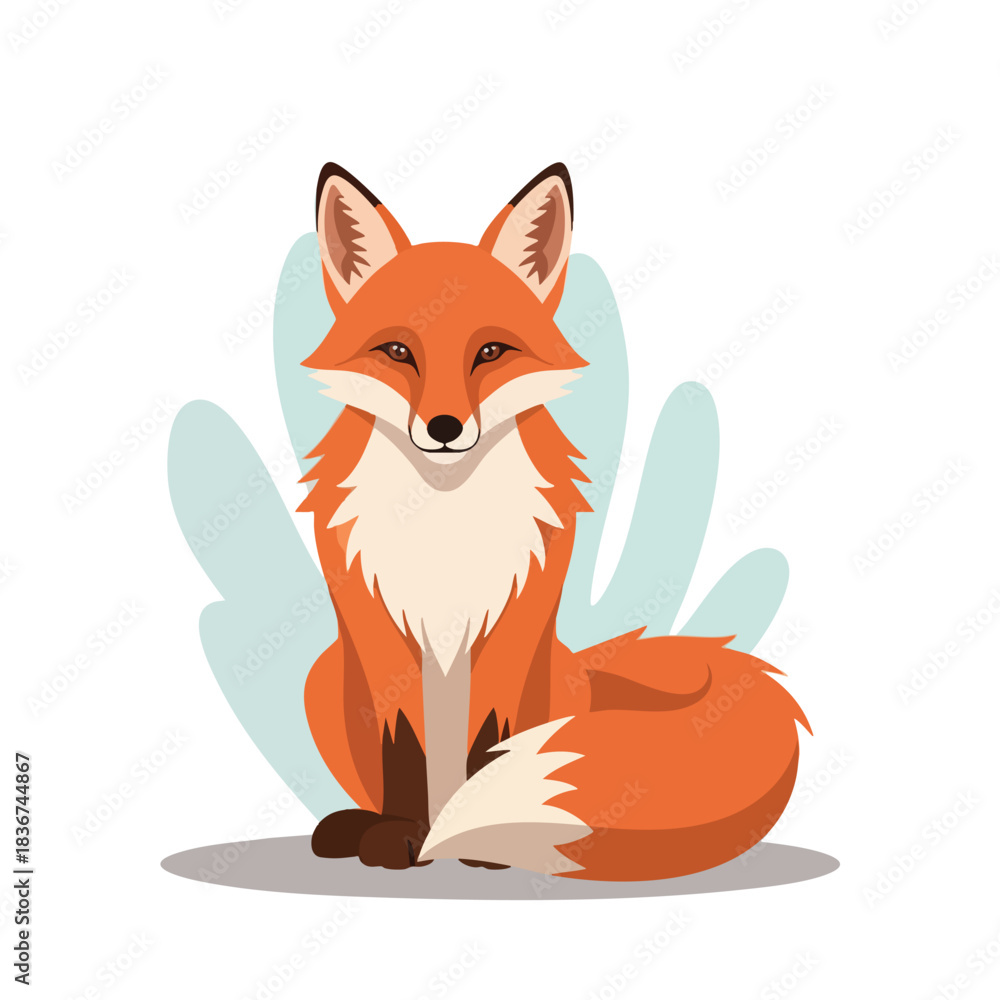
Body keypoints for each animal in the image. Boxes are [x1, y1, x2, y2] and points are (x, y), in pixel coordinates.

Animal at [299, 161, 809, 880]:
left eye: (490, 351)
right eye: (398, 350)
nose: (445, 428)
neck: (444, 523)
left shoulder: (517, 619)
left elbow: (492, 742)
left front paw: (478, 845)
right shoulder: (378, 629)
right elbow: (401, 750)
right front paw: (401, 833)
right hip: (322, 675)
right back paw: (362, 826)